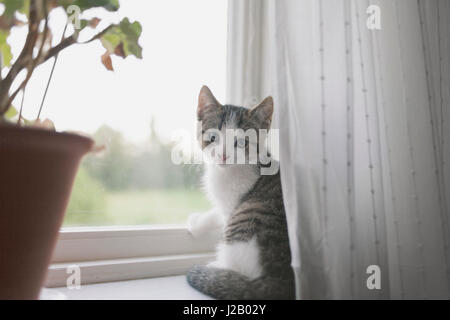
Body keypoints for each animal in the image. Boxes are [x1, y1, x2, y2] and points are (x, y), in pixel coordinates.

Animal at [186, 85, 296, 300]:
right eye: (213, 138)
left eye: (241, 142)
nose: (223, 155)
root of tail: (282, 280)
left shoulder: (231, 205)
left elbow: (220, 214)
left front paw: (196, 223)